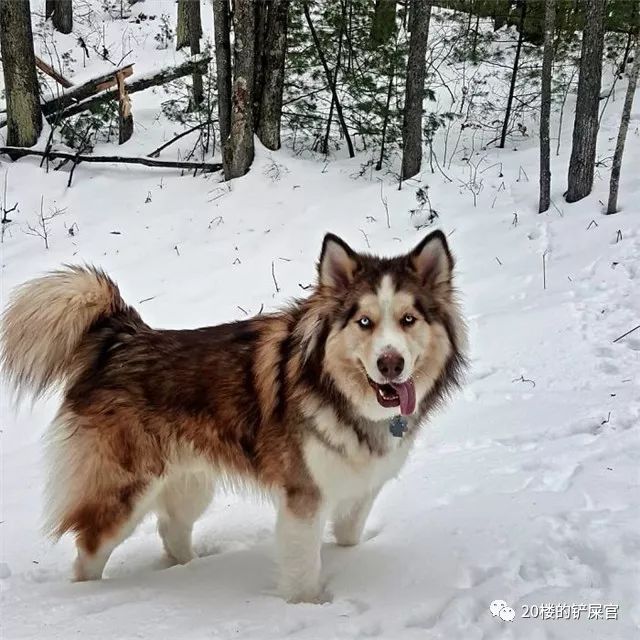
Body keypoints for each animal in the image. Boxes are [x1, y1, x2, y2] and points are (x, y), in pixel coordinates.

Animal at [2, 232, 468, 604]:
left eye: (408, 320)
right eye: (365, 322)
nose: (391, 364)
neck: (340, 394)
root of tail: (122, 337)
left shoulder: (359, 489)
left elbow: (349, 539)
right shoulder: (303, 496)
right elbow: (303, 571)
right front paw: (311, 610)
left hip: (190, 481)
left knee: (171, 530)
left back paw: (191, 572)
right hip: (124, 491)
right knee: (89, 553)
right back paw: (88, 600)